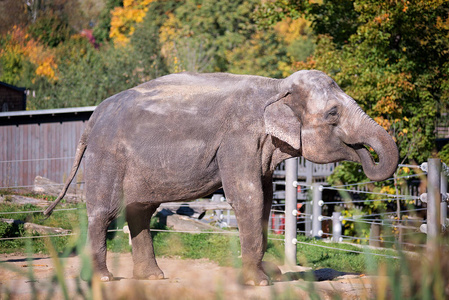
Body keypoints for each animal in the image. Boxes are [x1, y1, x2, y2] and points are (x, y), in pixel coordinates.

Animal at [43, 69, 398, 286]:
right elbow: (248, 197)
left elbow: (266, 200)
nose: (365, 153)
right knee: (103, 211)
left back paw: (153, 278)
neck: (275, 86)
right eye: (333, 114)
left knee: (140, 210)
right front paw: (259, 282)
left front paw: (270, 274)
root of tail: (92, 118)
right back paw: (102, 279)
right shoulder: (238, 139)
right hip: (107, 156)